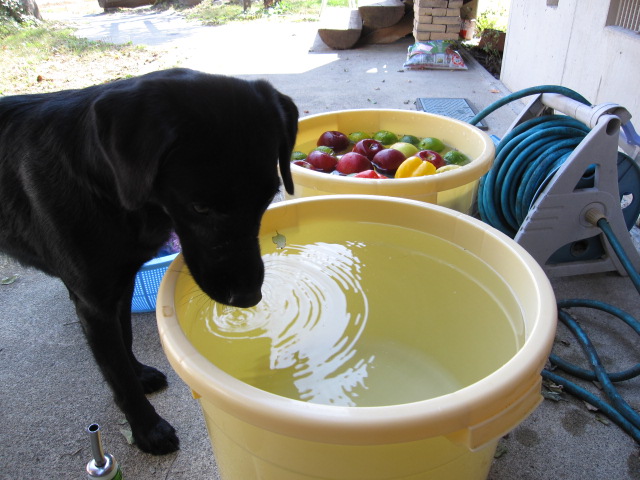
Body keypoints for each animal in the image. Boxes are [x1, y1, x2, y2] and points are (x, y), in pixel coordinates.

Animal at [0, 67, 298, 454]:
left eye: (268, 198)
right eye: (199, 207)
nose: (248, 298)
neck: (108, 189)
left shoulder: (123, 283)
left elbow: (124, 339)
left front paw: (138, 373)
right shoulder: (92, 303)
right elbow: (117, 373)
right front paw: (147, 429)